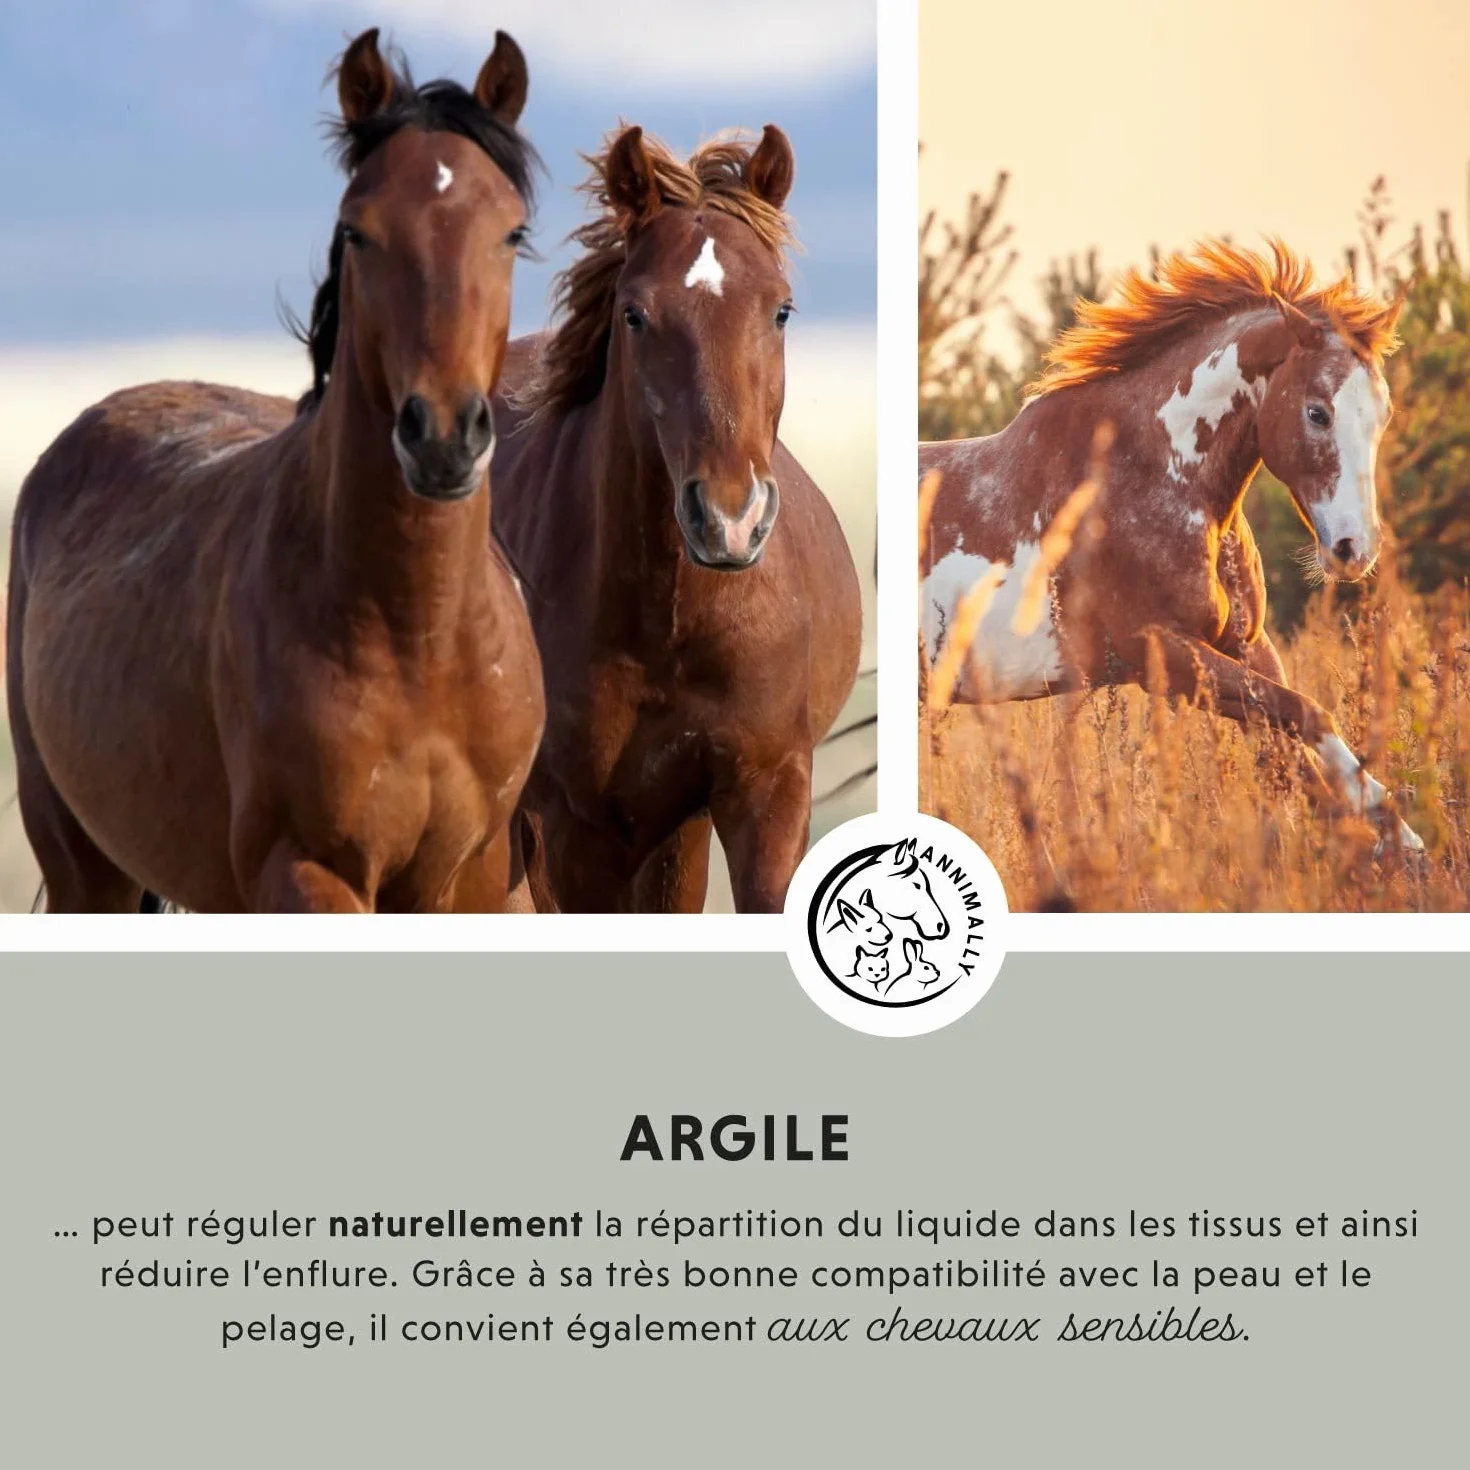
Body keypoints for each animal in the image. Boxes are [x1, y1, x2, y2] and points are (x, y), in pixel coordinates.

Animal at [6, 28, 546, 912]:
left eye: (511, 233)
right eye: (358, 231)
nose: (443, 438)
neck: (419, 638)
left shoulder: (469, 878)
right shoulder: (307, 871)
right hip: (84, 864)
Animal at [490, 124, 862, 913]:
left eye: (780, 309)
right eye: (635, 314)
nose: (730, 518)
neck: (669, 619)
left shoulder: (765, 792)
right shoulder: (573, 828)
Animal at [920, 239, 1422, 851]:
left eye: (1383, 414)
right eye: (1317, 412)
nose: (1355, 549)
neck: (1149, 474)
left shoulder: (1246, 645)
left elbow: (1298, 757)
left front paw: (1393, 841)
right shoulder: (1165, 654)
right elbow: (1309, 716)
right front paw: (1392, 827)